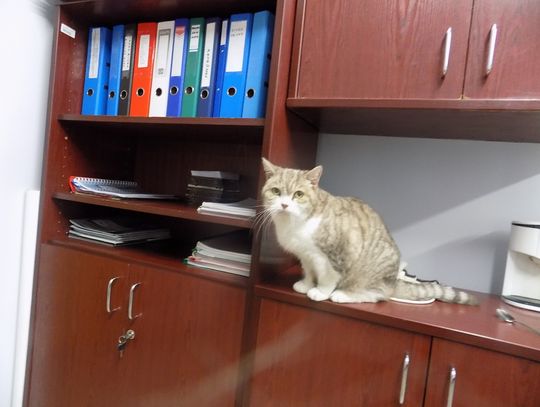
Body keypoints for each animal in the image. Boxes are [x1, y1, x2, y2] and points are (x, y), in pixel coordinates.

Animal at [260, 158, 478, 305]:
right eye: (276, 191)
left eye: (298, 194)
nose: (284, 205)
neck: (295, 223)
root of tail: (392, 281)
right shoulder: (305, 256)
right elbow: (309, 272)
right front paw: (306, 284)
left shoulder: (335, 255)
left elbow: (328, 278)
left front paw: (320, 292)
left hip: (371, 277)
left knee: (378, 295)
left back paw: (344, 295)